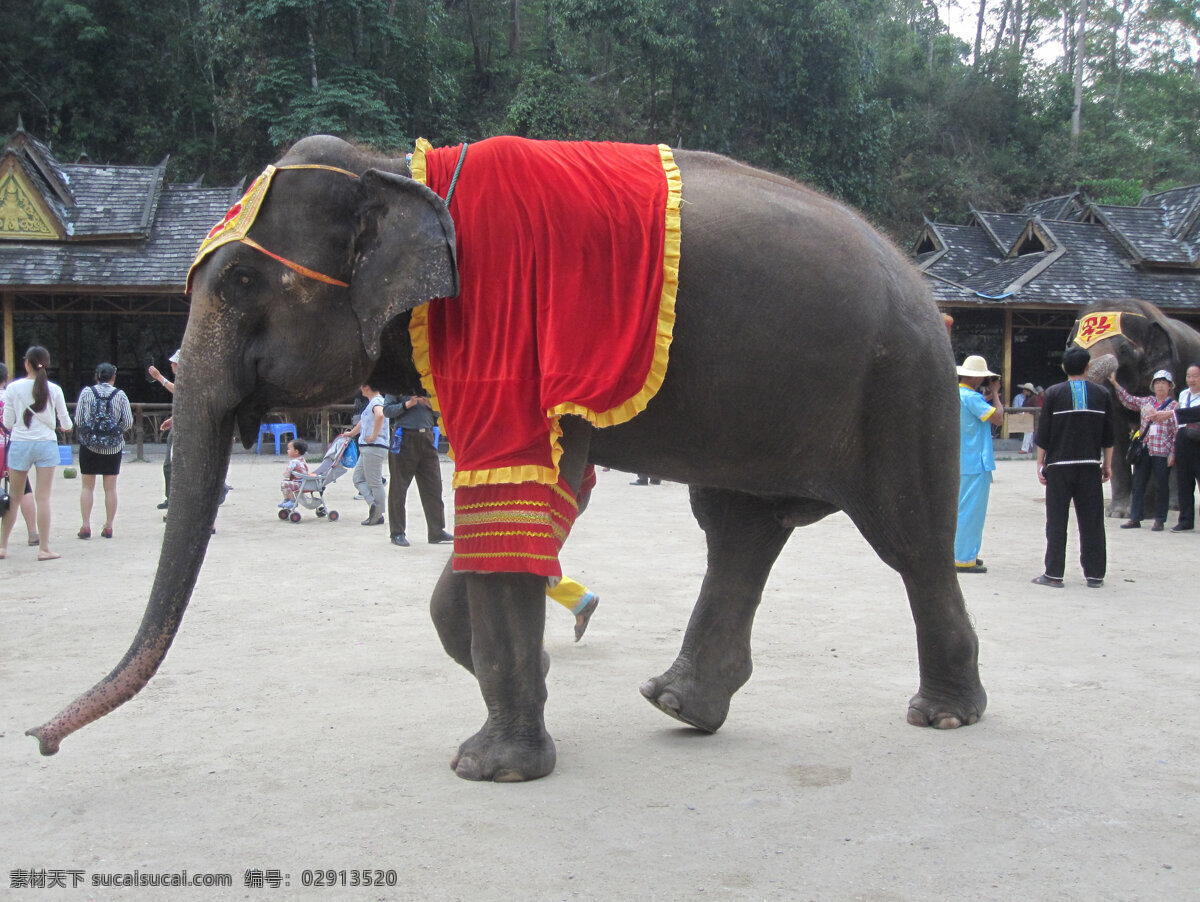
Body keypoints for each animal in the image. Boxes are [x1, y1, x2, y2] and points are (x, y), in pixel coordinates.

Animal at [25, 133, 984, 782]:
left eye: (241, 283)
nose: (39, 739)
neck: (398, 168)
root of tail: (923, 291)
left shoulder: (511, 332)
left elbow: (531, 489)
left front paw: (492, 766)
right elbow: (528, 502)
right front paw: (529, 673)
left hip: (900, 387)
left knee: (908, 542)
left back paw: (943, 716)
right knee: (736, 530)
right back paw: (677, 703)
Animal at [1075, 299, 1200, 518]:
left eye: (1124, 350)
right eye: (1070, 348)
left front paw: (1140, 513)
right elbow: (1117, 433)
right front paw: (1117, 513)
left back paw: (1172, 507)